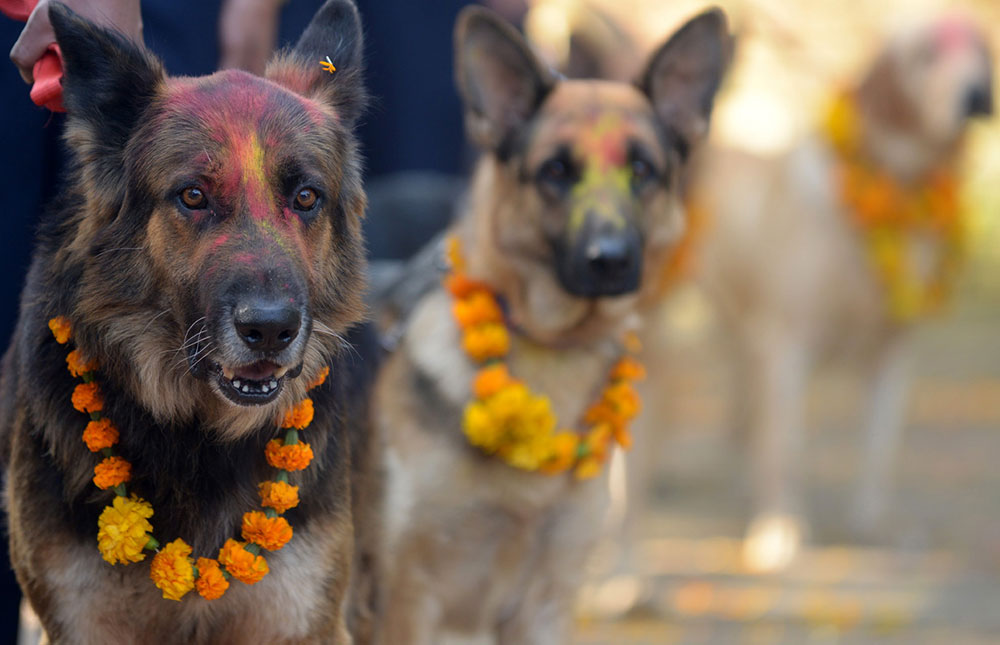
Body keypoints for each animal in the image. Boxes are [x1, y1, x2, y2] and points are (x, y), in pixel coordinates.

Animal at [0, 2, 382, 640]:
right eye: (193, 196)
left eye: (306, 197)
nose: (270, 330)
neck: (197, 434)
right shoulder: (85, 622)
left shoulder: (299, 618)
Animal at [372, 7, 732, 640]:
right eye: (556, 171)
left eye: (642, 169)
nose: (609, 260)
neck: (550, 347)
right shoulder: (405, 600)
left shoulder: (546, 600)